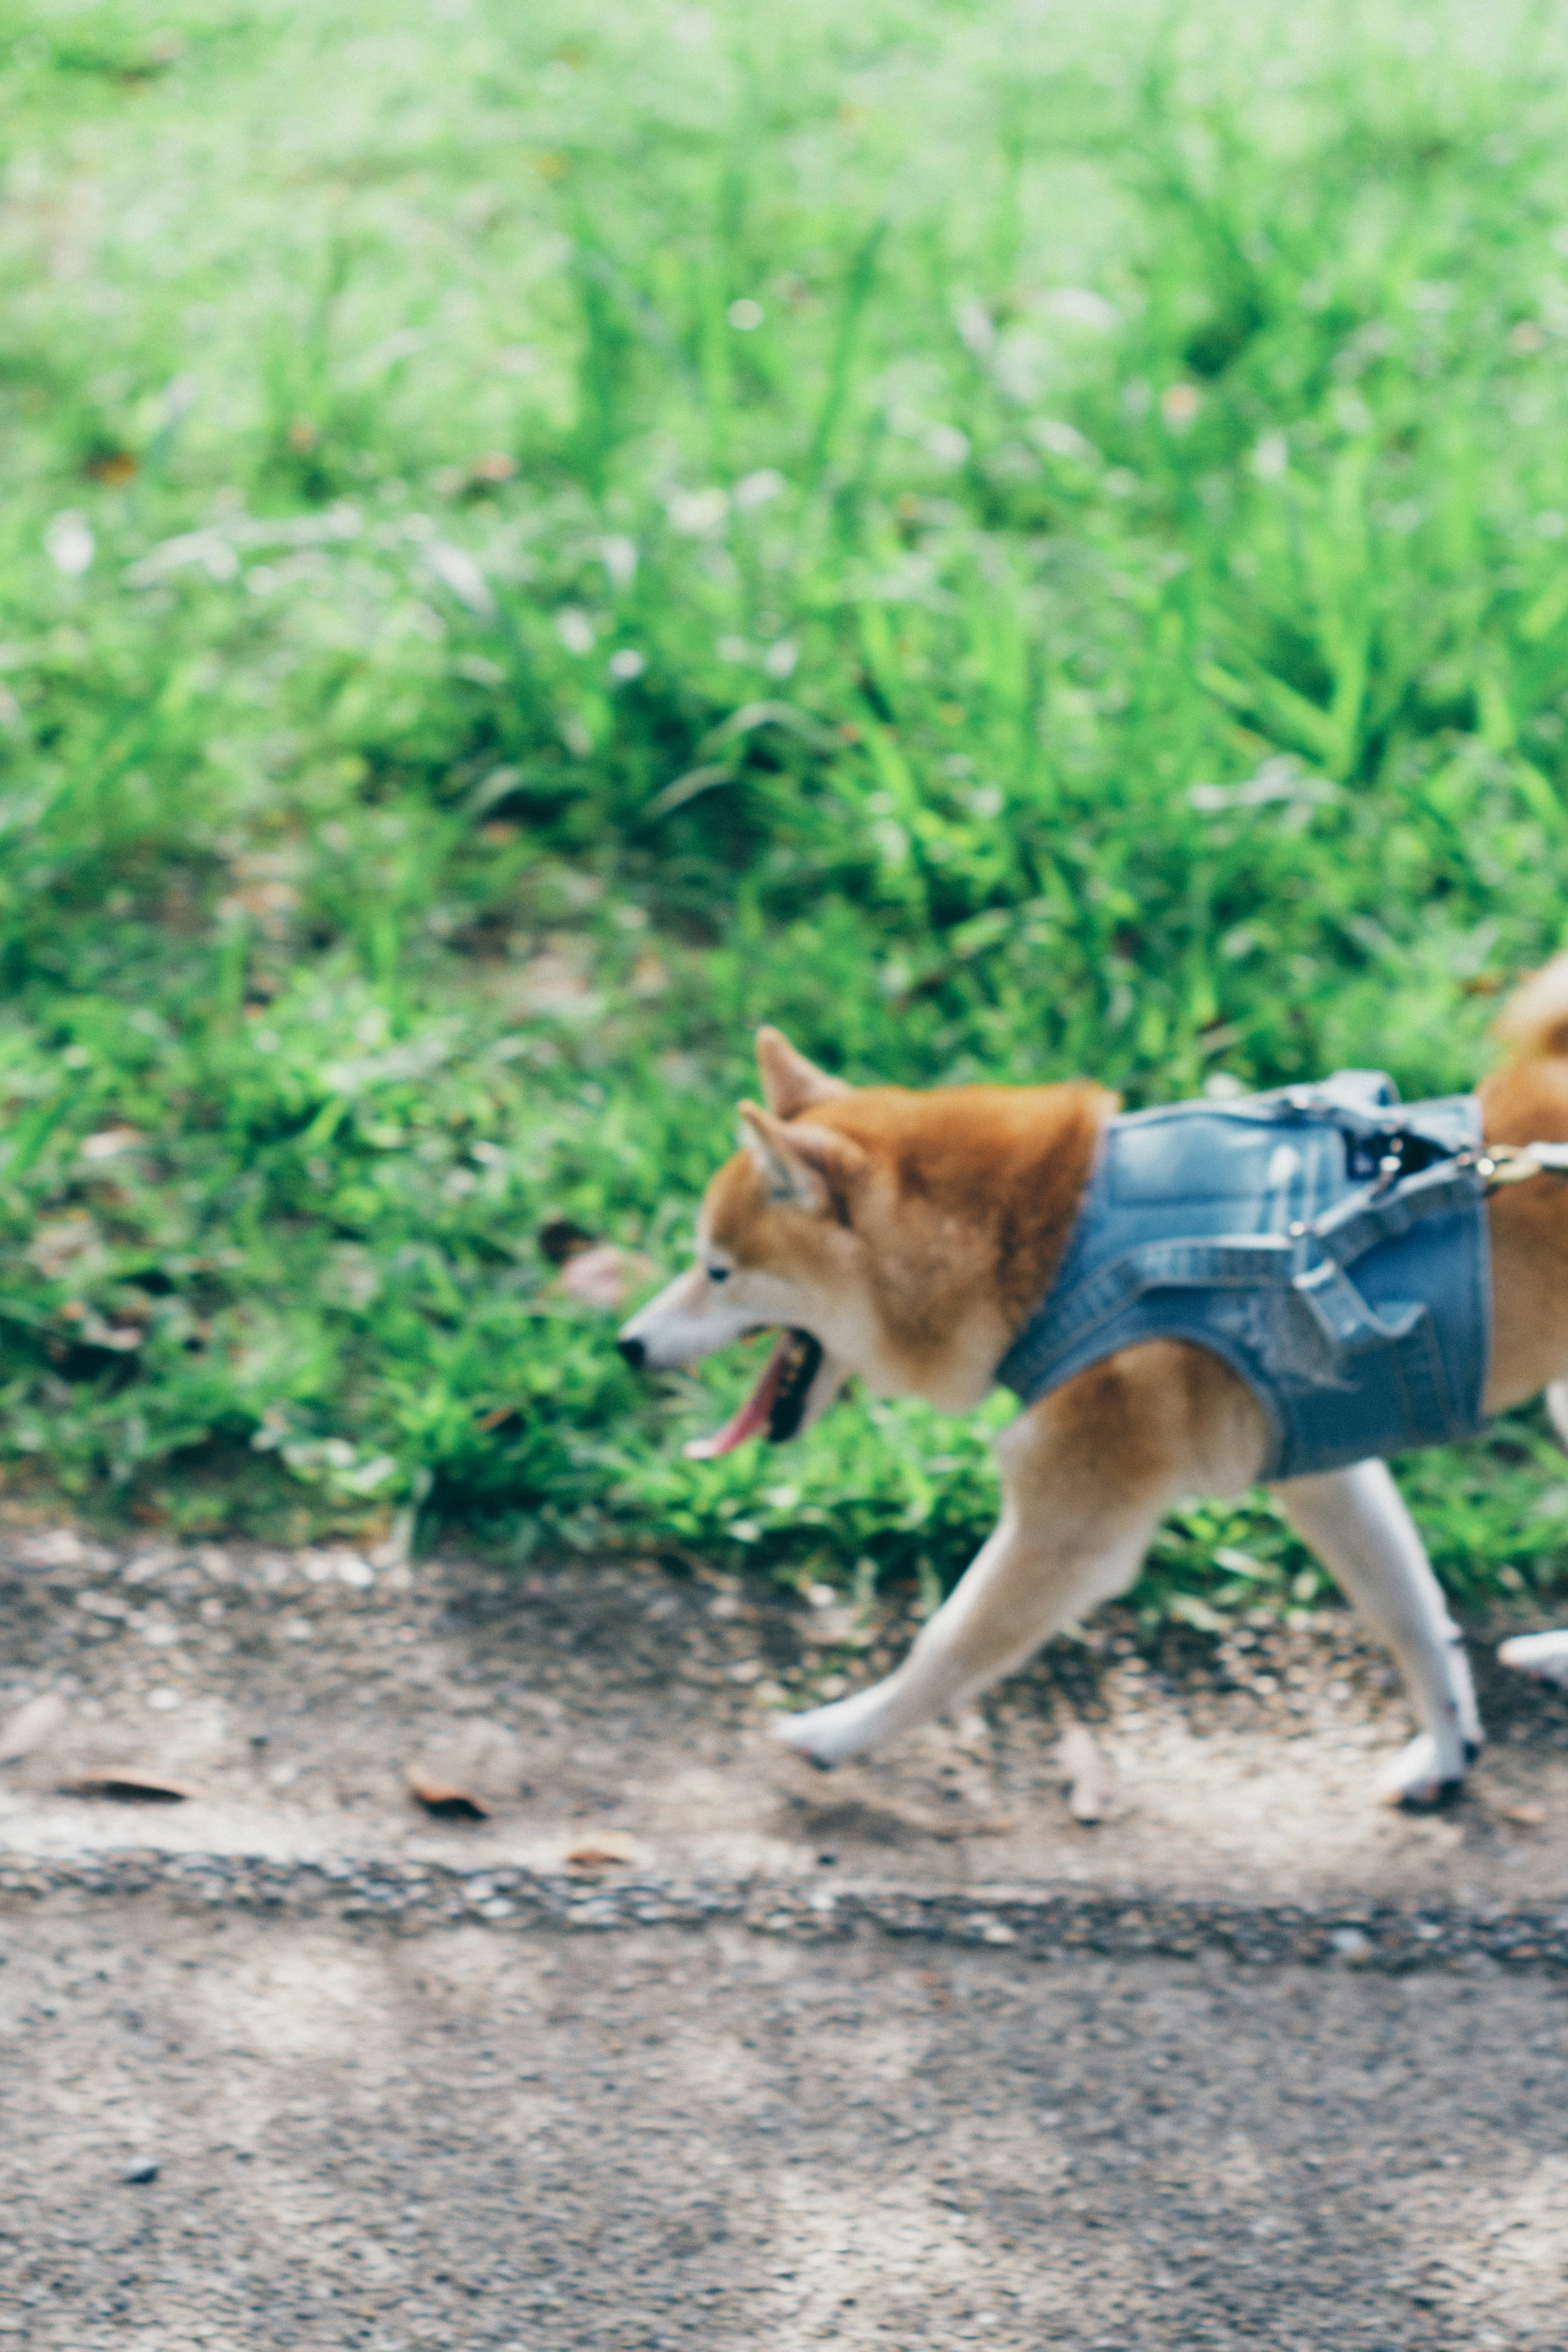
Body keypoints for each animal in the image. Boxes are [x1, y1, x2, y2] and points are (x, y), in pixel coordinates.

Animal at [616, 955, 1568, 1797]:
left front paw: (840, 1731)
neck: (1054, 1244)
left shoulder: (1073, 1522)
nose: (626, 1344)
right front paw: (1447, 1751)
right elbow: (1408, 1614)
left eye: (717, 1272)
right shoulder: (1321, 1467)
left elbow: (945, 1649)